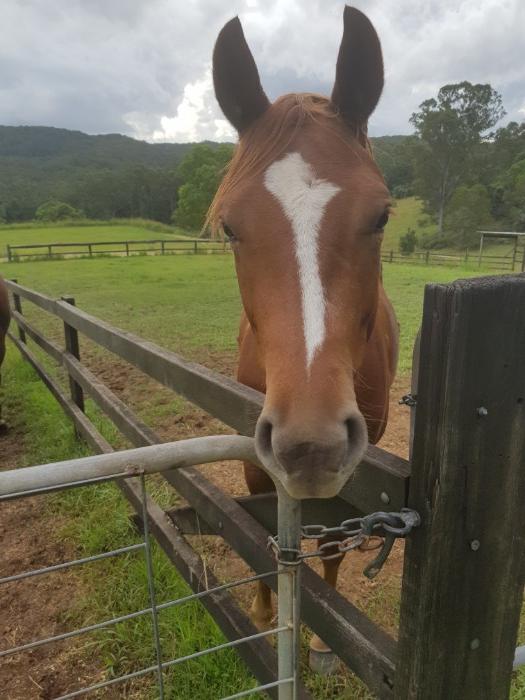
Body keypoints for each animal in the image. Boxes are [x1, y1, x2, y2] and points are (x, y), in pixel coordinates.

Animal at [209, 6, 399, 662]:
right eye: (230, 228)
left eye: (382, 215)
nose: (310, 445)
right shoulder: (255, 447)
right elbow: (263, 527)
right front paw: (267, 613)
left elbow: (334, 546)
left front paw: (319, 637)